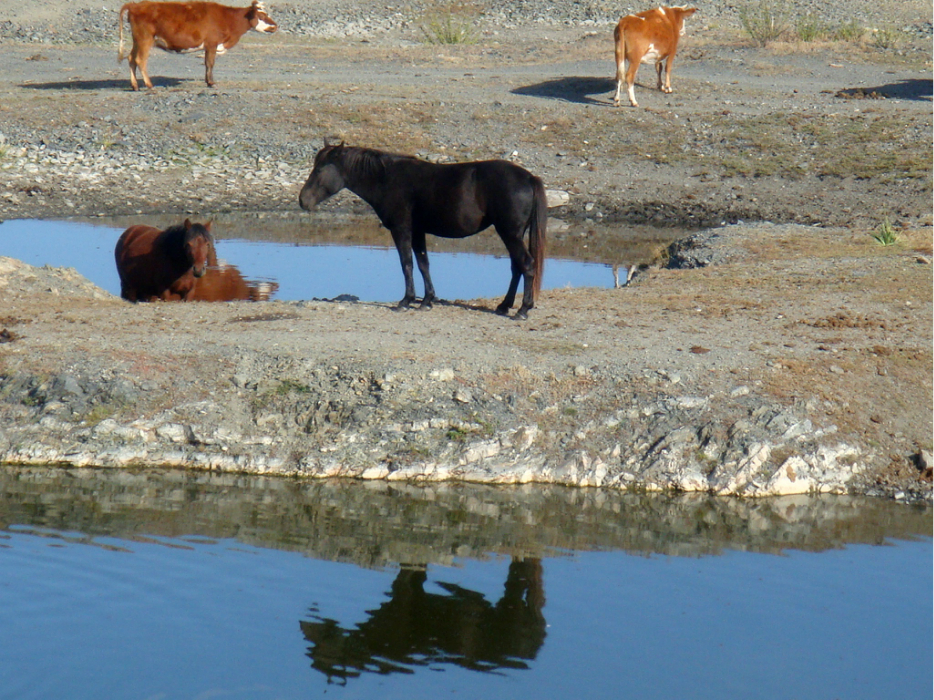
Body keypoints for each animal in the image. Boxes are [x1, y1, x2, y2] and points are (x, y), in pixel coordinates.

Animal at [119, 0, 278, 91]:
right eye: (262, 16)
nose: (275, 26)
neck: (228, 19)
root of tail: (135, 4)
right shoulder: (212, 44)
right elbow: (210, 63)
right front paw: (211, 83)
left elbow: (207, 64)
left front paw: (208, 81)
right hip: (145, 39)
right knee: (140, 60)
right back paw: (149, 85)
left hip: (137, 40)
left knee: (131, 59)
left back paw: (135, 86)